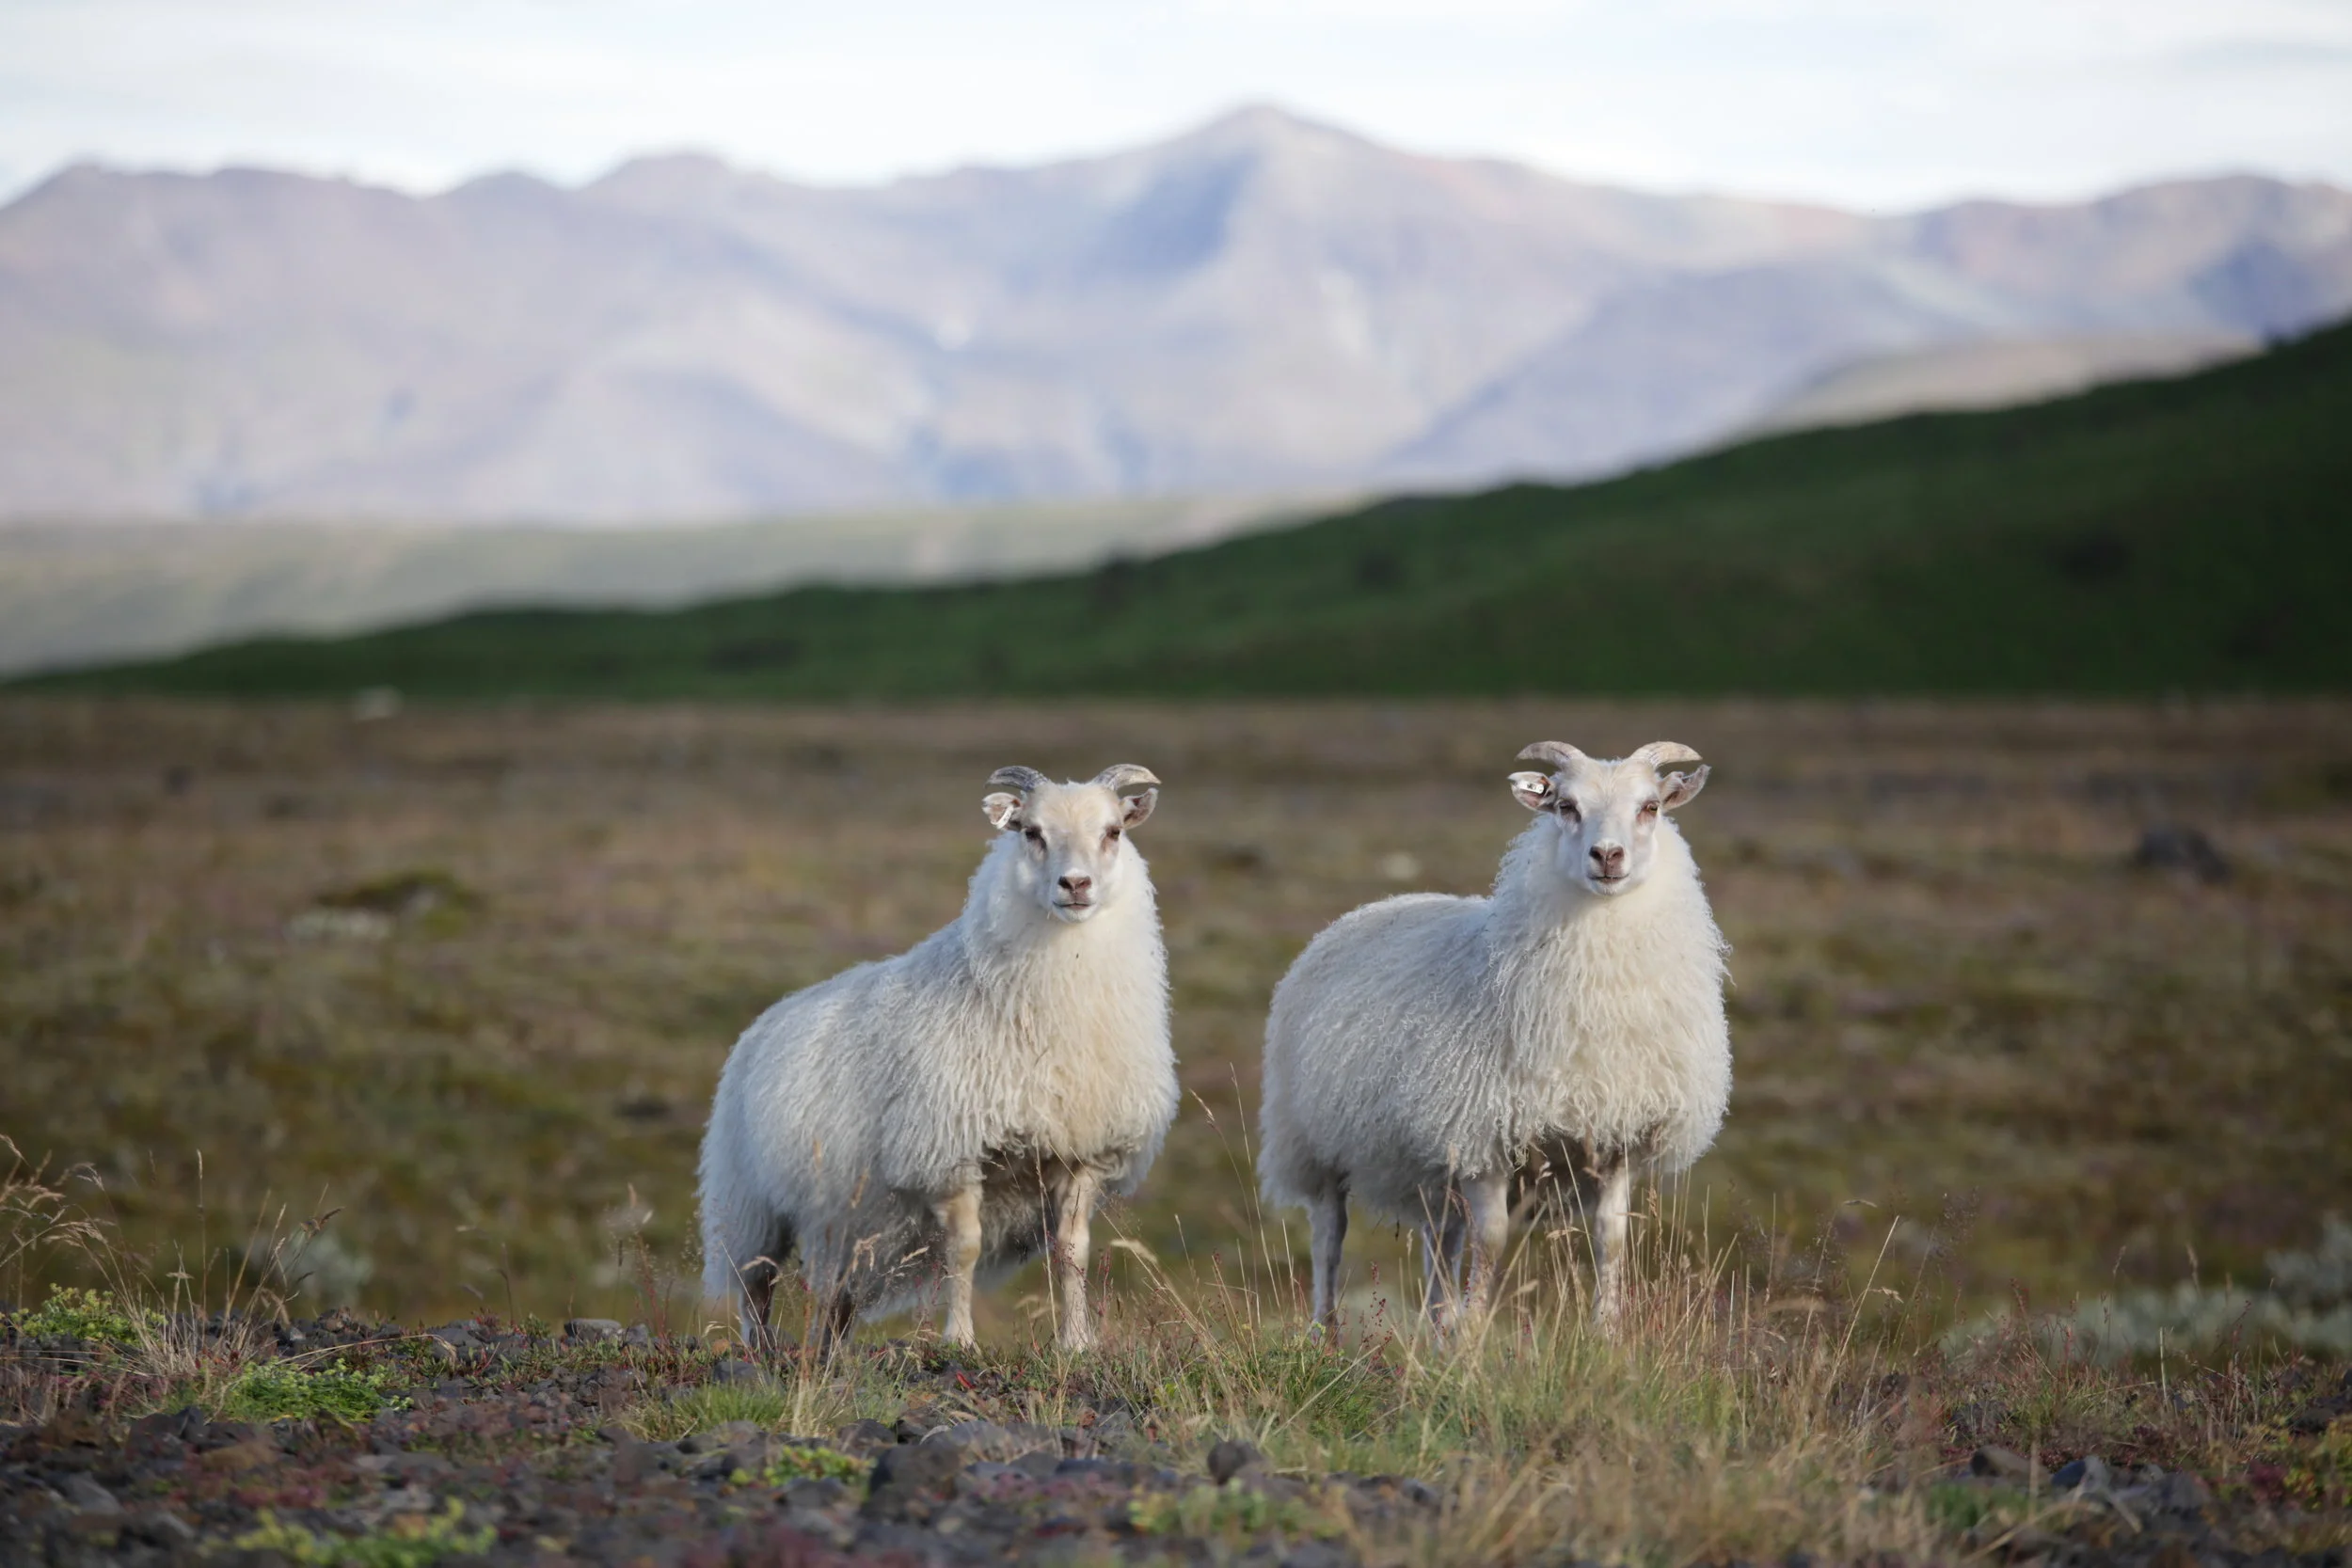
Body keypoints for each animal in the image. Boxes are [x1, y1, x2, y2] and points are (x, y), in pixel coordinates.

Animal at [699, 763, 1175, 1355]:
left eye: (1113, 831)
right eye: (1031, 832)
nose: (1076, 885)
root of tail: (762, 1023)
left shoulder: (1080, 1153)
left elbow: (1072, 1251)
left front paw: (1077, 1342)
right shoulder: (950, 1155)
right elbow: (963, 1251)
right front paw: (960, 1339)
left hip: (847, 1225)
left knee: (834, 1298)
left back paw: (827, 1352)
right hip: (750, 1207)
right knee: (755, 1288)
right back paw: (762, 1349)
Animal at [1259, 740, 1729, 1333]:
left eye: (1651, 807)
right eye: (1565, 806)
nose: (1607, 856)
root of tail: (1375, 905)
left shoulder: (1618, 1138)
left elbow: (1612, 1238)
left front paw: (1605, 1334)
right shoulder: (1483, 1140)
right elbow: (1492, 1241)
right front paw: (1474, 1336)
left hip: (1433, 1174)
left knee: (1439, 1249)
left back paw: (1435, 1335)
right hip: (1313, 1147)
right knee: (1329, 1239)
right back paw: (1326, 1334)